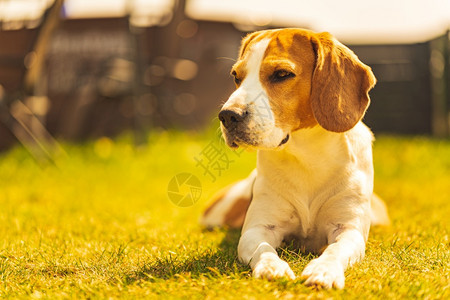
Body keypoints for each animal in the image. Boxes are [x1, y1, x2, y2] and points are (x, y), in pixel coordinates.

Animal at [201, 28, 390, 288]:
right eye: (236, 77)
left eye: (282, 74)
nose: (228, 115)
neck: (307, 158)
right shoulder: (258, 228)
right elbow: (263, 248)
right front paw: (272, 267)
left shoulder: (349, 229)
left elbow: (335, 250)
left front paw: (324, 270)